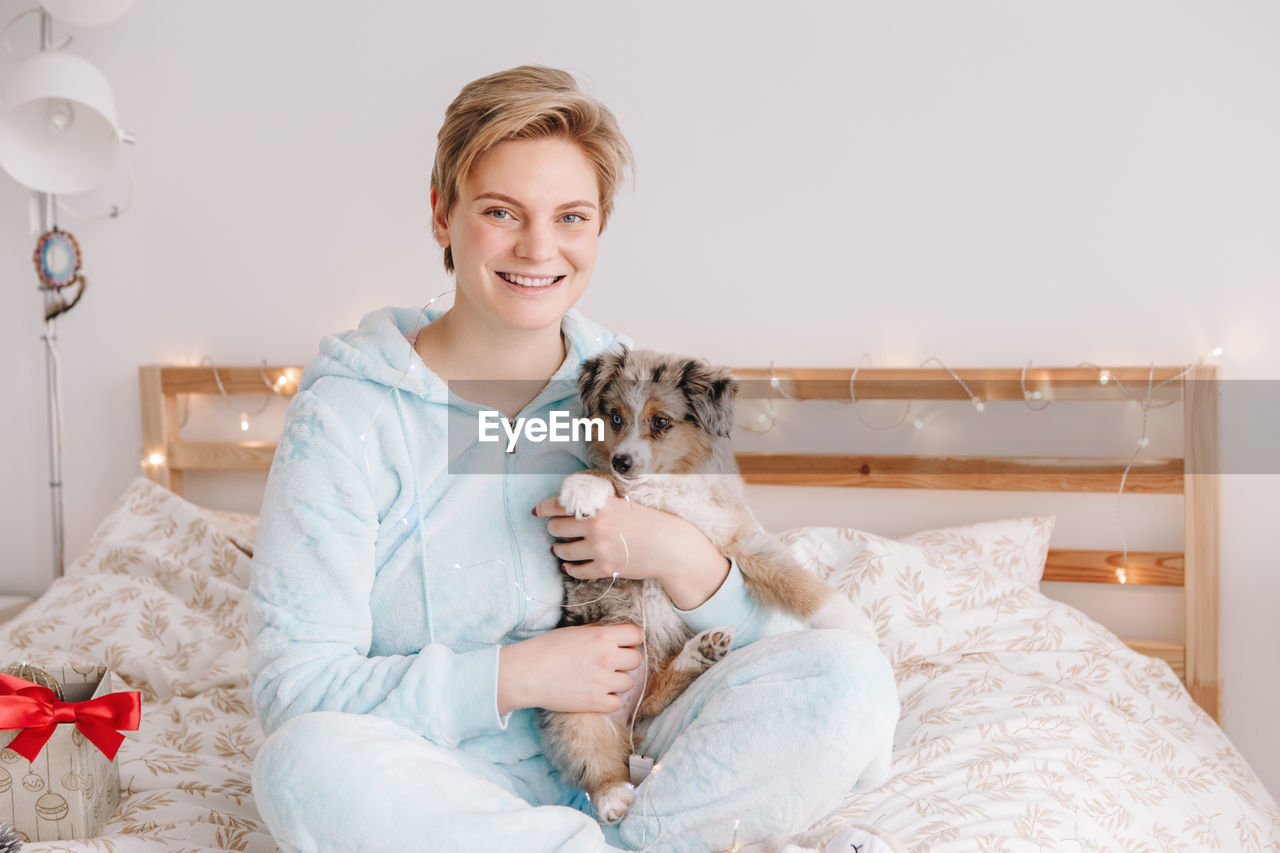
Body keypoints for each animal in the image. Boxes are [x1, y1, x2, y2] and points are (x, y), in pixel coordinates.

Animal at [535, 343, 875, 819]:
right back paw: (614, 797)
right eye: (614, 417)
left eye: (661, 422)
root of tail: (631, 719)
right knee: (596, 761)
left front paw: (854, 623)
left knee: (657, 695)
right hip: (573, 701)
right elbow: (607, 483)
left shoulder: (739, 539)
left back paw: (699, 655)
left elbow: (798, 582)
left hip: (646, 697)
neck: (665, 489)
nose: (623, 461)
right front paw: (584, 486)